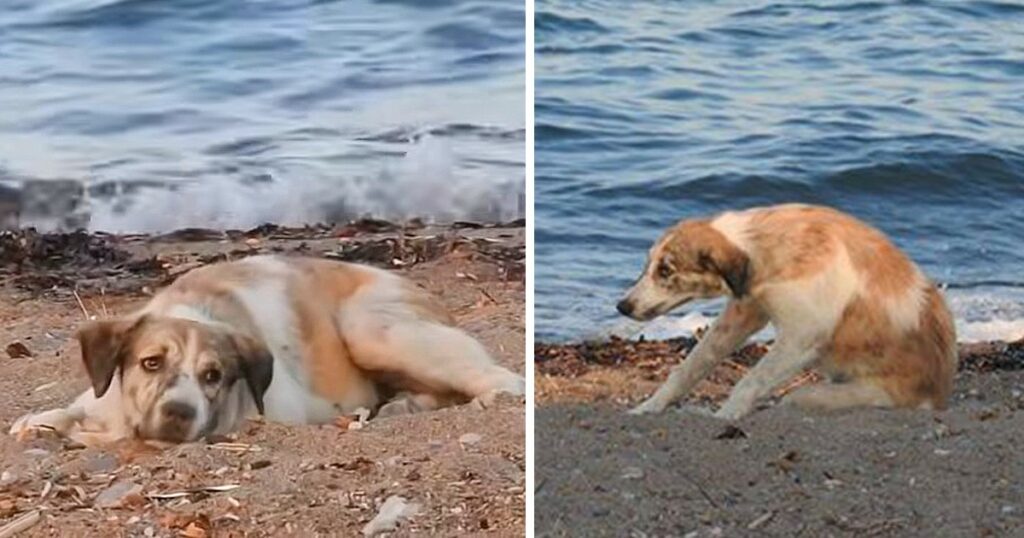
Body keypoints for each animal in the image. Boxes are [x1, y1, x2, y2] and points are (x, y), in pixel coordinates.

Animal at [12, 254, 528, 442]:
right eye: (150, 363)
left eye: (215, 376)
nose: (179, 412)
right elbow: (75, 407)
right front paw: (38, 421)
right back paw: (403, 406)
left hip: (371, 327)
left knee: (501, 377)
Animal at [614, 203, 958, 418]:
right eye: (648, 265)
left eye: (666, 271)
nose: (622, 306)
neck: (766, 248)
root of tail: (938, 396)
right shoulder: (744, 312)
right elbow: (690, 367)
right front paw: (649, 407)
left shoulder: (800, 338)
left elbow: (751, 379)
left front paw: (726, 415)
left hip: (834, 393)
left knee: (793, 397)